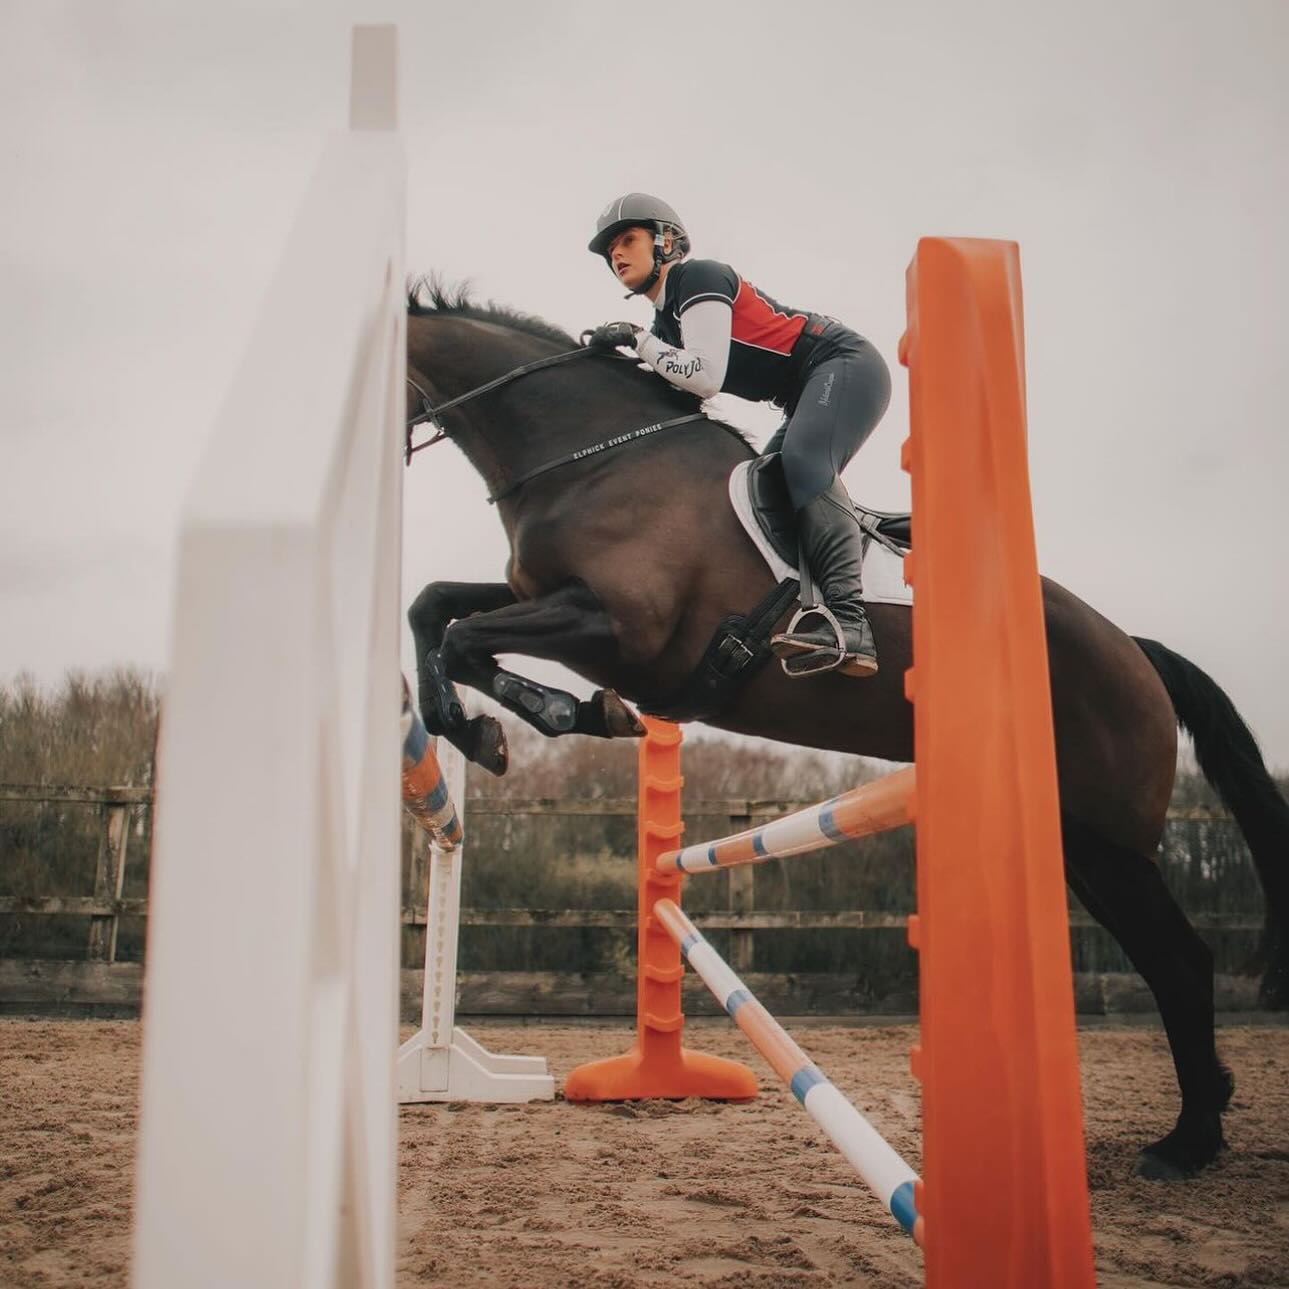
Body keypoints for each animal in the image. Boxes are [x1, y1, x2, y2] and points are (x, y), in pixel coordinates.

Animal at [403, 279, 1289, 1182]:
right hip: (1078, 842)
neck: (592, 458)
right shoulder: (556, 605)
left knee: (1180, 963)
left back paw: (1186, 1142)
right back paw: (1195, 1129)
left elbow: (463, 637)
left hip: (1109, 841)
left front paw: (533, 721)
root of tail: (1135, 650)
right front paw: (505, 724)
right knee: (1168, 959)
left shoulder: (620, 629)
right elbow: (435, 609)